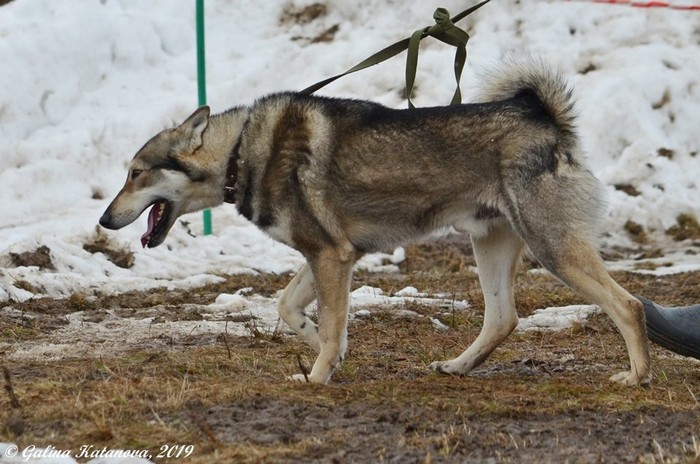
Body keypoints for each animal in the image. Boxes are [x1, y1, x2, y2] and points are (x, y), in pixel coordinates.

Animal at [100, 59, 651, 386]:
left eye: (134, 174)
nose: (104, 220)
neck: (240, 152)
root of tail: (544, 119)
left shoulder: (331, 256)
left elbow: (328, 321)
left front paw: (317, 376)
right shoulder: (330, 254)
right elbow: (291, 309)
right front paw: (324, 349)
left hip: (552, 248)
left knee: (629, 305)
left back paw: (637, 376)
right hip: (490, 246)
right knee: (502, 318)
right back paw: (457, 365)